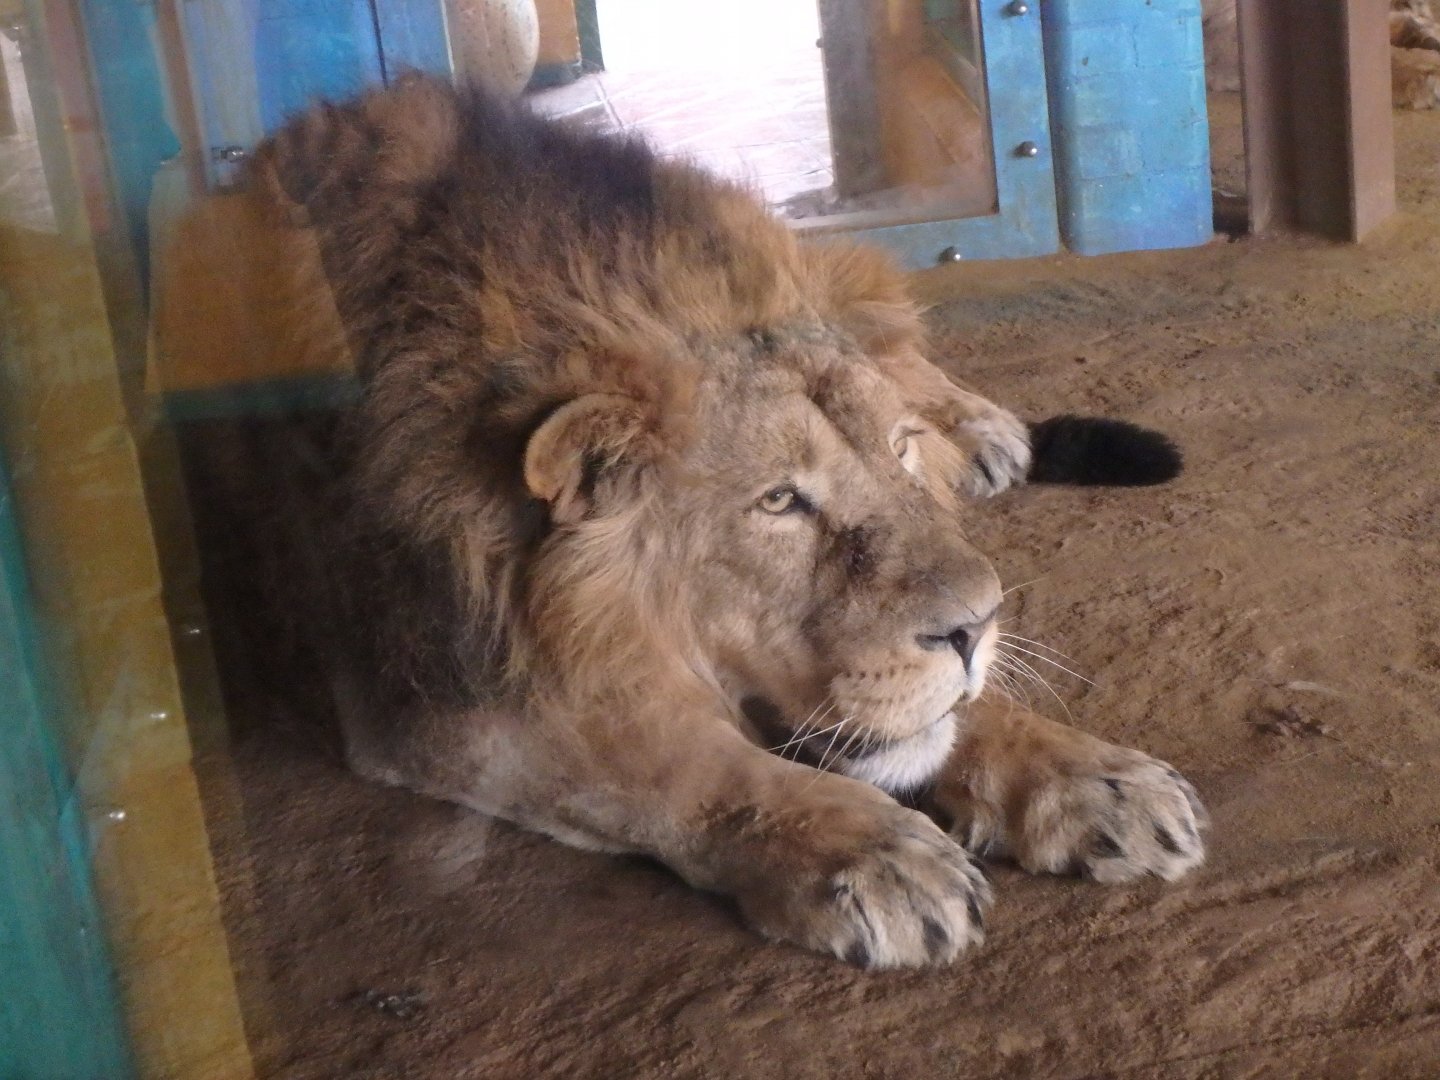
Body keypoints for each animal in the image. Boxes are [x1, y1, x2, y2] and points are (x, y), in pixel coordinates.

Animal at [245, 76, 1207, 968]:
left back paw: (983, 432)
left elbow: (950, 719)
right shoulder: (425, 694)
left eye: (897, 450)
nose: (977, 626)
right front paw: (873, 855)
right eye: (779, 501)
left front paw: (1091, 780)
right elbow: (669, 755)